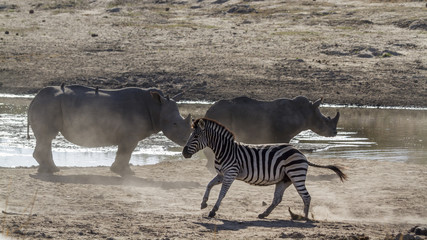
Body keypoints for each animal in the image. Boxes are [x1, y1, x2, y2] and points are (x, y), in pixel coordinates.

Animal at [181, 117, 348, 219]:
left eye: (195, 136)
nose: (183, 152)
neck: (224, 150)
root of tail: (301, 154)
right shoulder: (222, 174)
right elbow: (209, 185)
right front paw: (203, 203)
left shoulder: (230, 173)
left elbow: (222, 193)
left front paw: (213, 211)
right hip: (285, 179)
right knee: (278, 198)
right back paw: (264, 214)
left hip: (296, 175)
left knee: (306, 196)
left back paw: (305, 218)